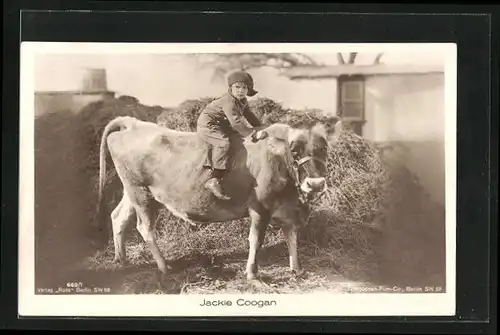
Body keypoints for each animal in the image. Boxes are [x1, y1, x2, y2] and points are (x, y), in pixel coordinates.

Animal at [95, 115, 342, 280]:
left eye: (323, 149)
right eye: (295, 151)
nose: (316, 184)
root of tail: (133, 123)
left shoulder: (288, 207)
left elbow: (292, 236)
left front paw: (297, 268)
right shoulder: (260, 206)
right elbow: (256, 239)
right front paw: (252, 273)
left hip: (132, 192)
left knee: (118, 217)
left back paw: (120, 259)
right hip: (141, 193)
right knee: (144, 227)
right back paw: (164, 267)